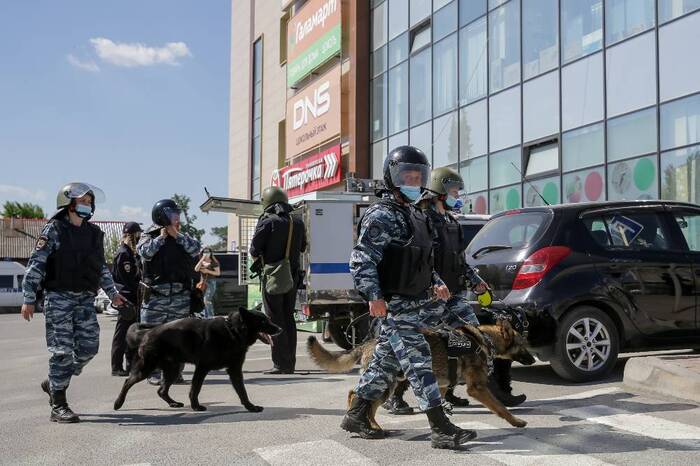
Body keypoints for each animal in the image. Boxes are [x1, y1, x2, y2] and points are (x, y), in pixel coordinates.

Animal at [113, 308, 280, 414]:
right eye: (263, 322)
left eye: (268, 319)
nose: (280, 329)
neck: (233, 331)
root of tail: (148, 332)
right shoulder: (202, 368)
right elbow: (195, 389)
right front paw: (196, 406)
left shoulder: (235, 370)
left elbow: (242, 391)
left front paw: (250, 407)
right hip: (146, 368)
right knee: (128, 382)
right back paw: (118, 403)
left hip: (174, 370)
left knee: (161, 390)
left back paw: (173, 403)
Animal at [308, 318, 536, 432]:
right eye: (523, 345)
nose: (534, 360)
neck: (484, 340)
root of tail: (367, 342)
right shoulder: (477, 388)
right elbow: (500, 408)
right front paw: (516, 422)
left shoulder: (440, 387)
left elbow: (438, 404)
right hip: (385, 383)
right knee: (356, 394)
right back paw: (361, 423)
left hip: (388, 385)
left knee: (364, 401)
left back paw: (370, 424)